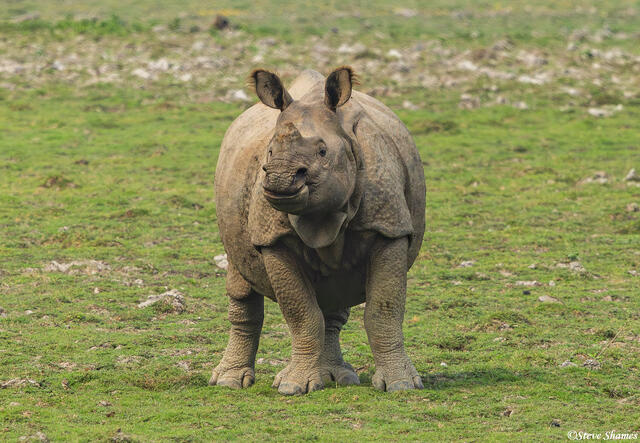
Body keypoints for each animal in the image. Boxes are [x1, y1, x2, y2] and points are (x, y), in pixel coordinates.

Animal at [211, 66, 426, 395]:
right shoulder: (273, 239)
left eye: (323, 152)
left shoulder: (390, 227)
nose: (280, 178)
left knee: (333, 297)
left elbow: (383, 311)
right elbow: (301, 313)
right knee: (240, 281)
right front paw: (293, 387)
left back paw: (339, 377)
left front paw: (402, 385)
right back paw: (229, 382)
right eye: (269, 152)